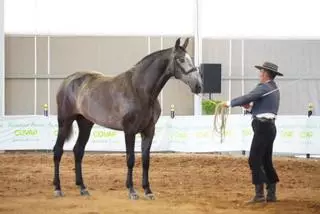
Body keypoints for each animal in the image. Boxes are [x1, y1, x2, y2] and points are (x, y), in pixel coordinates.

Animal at [52, 37, 202, 200]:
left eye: (191, 59)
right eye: (180, 59)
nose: (198, 86)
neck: (140, 90)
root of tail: (68, 81)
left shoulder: (149, 130)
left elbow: (146, 160)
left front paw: (148, 190)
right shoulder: (129, 131)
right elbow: (130, 159)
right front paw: (132, 190)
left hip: (85, 123)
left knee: (78, 151)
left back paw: (83, 188)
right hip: (65, 121)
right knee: (58, 151)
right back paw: (58, 188)